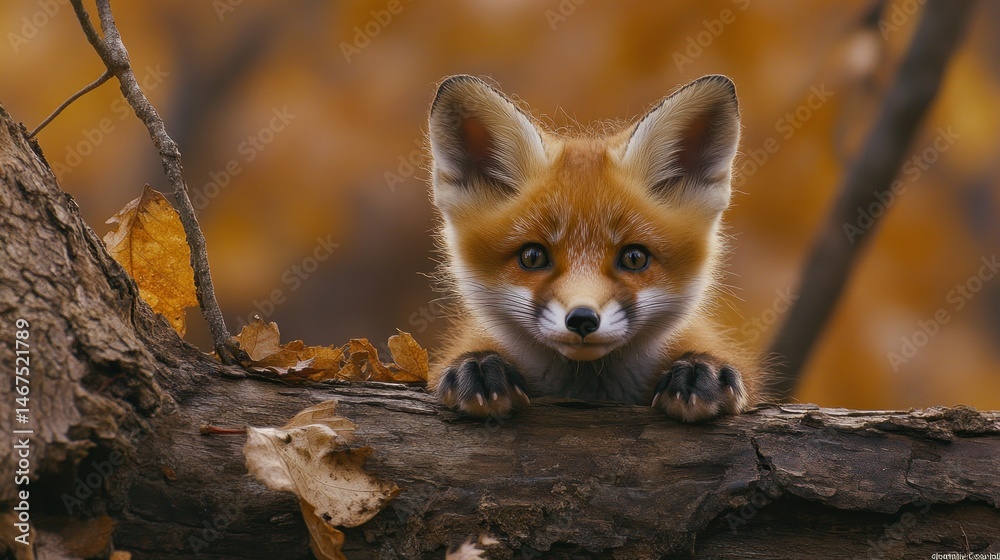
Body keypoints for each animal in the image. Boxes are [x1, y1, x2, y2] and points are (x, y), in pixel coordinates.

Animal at [427, 74, 762, 422]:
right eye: (532, 257)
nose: (583, 319)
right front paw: (479, 368)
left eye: (634, 258)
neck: (587, 385)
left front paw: (699, 371)